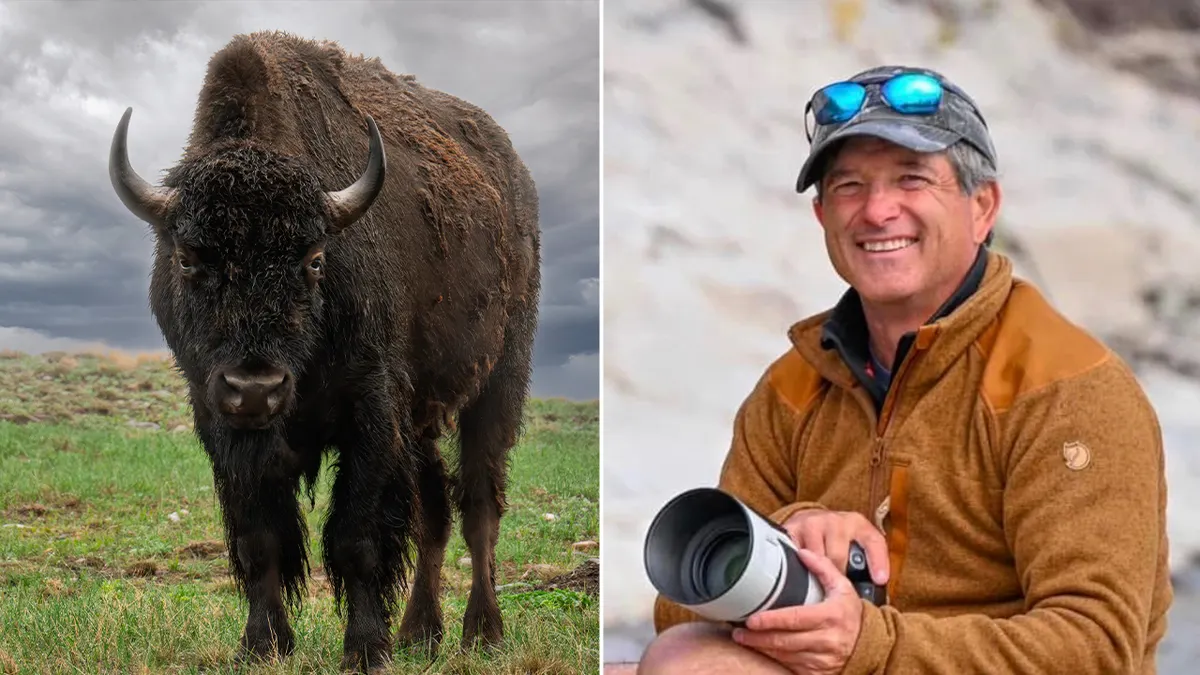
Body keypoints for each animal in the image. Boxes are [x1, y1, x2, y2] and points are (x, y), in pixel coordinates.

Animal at [107, 30, 541, 672]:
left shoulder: (372, 410)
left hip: (499, 378)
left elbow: (356, 536)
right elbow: (258, 538)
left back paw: (481, 632)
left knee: (479, 507)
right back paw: (419, 631)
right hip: (423, 417)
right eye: (186, 259)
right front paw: (262, 644)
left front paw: (364, 649)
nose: (256, 388)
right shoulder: (220, 422)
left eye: (314, 260)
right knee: (434, 513)